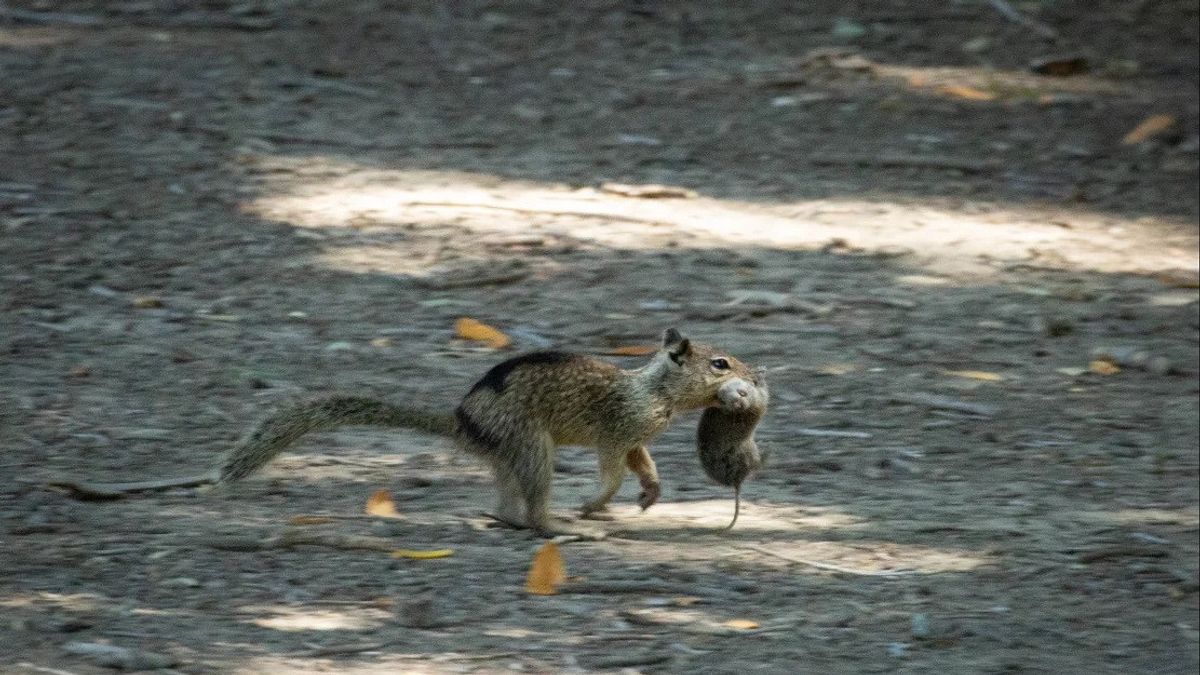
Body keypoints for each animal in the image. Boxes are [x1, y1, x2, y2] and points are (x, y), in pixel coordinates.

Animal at [56, 326, 753, 535]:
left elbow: (642, 463)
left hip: (514, 454)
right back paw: (557, 525)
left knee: (505, 501)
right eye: (720, 363)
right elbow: (612, 466)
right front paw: (598, 502)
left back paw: (510, 518)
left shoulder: (637, 436)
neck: (654, 391)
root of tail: (462, 421)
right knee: (529, 504)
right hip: (532, 446)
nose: (752, 374)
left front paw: (650, 493)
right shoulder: (616, 430)